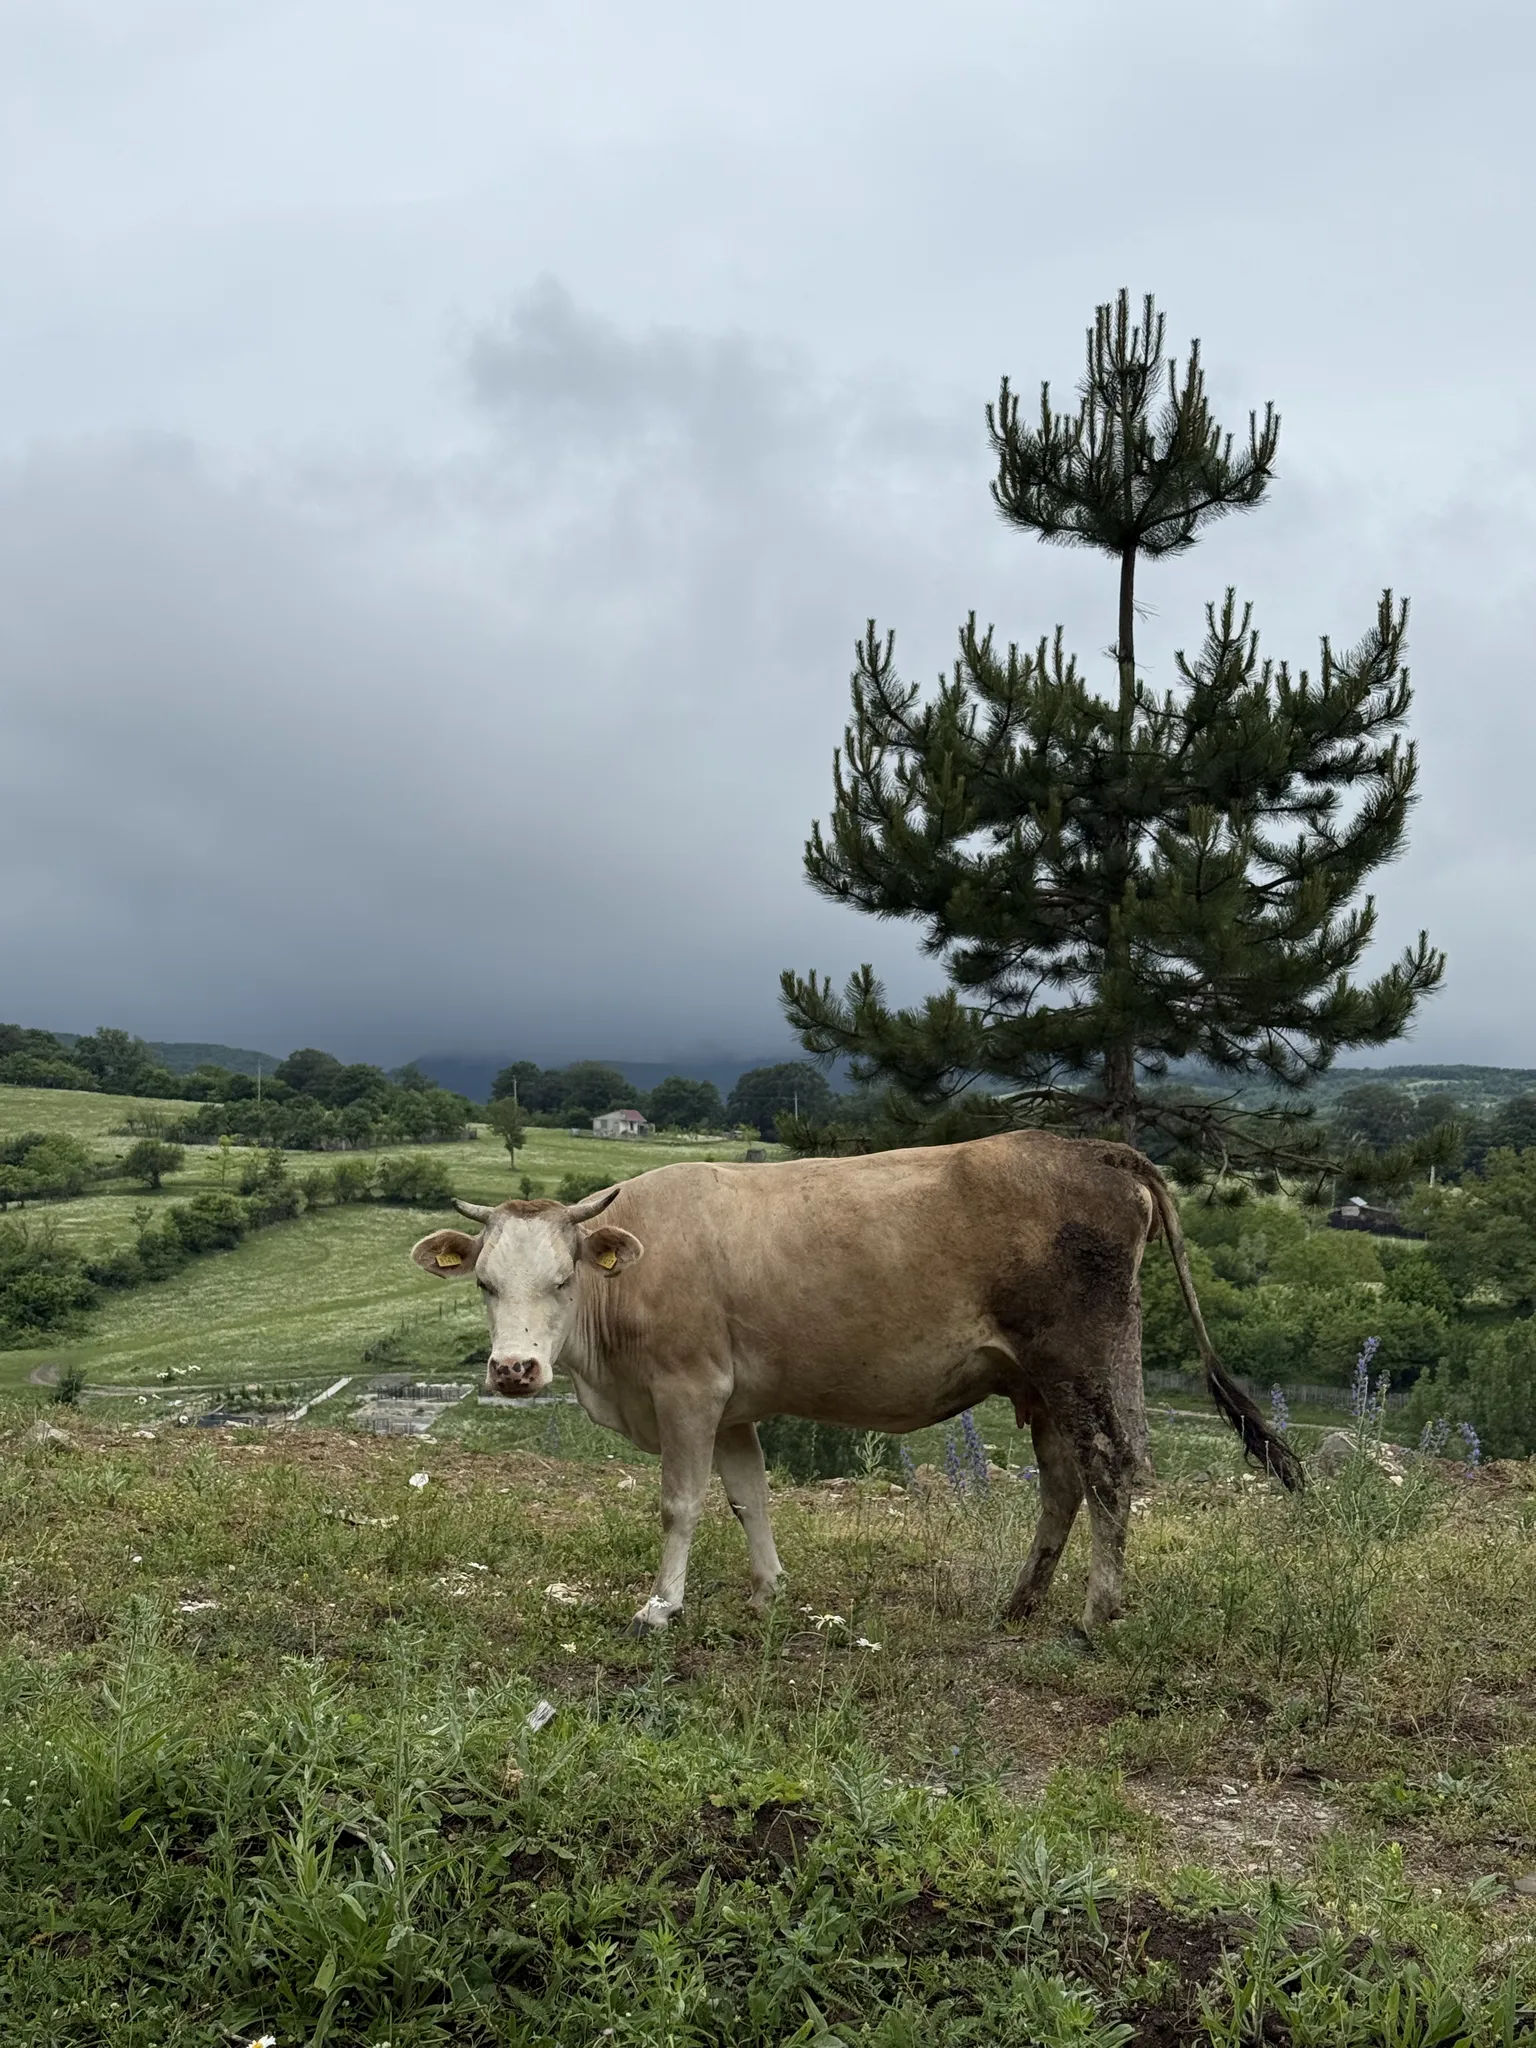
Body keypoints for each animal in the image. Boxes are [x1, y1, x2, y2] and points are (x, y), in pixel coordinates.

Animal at [408, 1131, 1300, 1635]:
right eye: (484, 1282)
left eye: (562, 1280)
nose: (514, 1370)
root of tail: (1093, 1149)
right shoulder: (731, 1407)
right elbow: (750, 1496)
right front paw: (767, 1591)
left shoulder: (687, 1392)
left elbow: (681, 1503)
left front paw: (661, 1606)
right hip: (1042, 1383)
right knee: (1063, 1481)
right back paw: (1020, 1602)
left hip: (1083, 1362)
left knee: (1111, 1467)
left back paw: (1096, 1612)